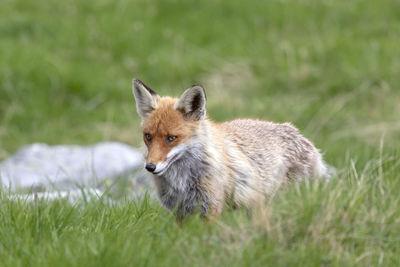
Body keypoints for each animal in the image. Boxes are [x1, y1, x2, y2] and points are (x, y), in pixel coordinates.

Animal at [133, 78, 330, 221]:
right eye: (148, 136)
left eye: (171, 138)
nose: (150, 167)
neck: (181, 180)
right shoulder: (180, 212)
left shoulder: (211, 208)